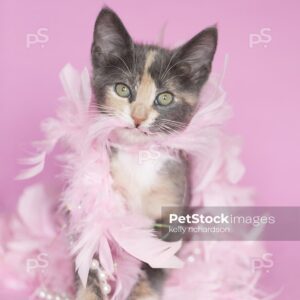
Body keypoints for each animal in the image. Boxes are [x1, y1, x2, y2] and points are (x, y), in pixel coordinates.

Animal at [77, 7, 218, 300]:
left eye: (165, 98)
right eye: (122, 89)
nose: (138, 118)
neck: (138, 157)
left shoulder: (173, 211)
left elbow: (156, 264)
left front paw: (143, 293)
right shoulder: (95, 202)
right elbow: (90, 256)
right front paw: (86, 292)